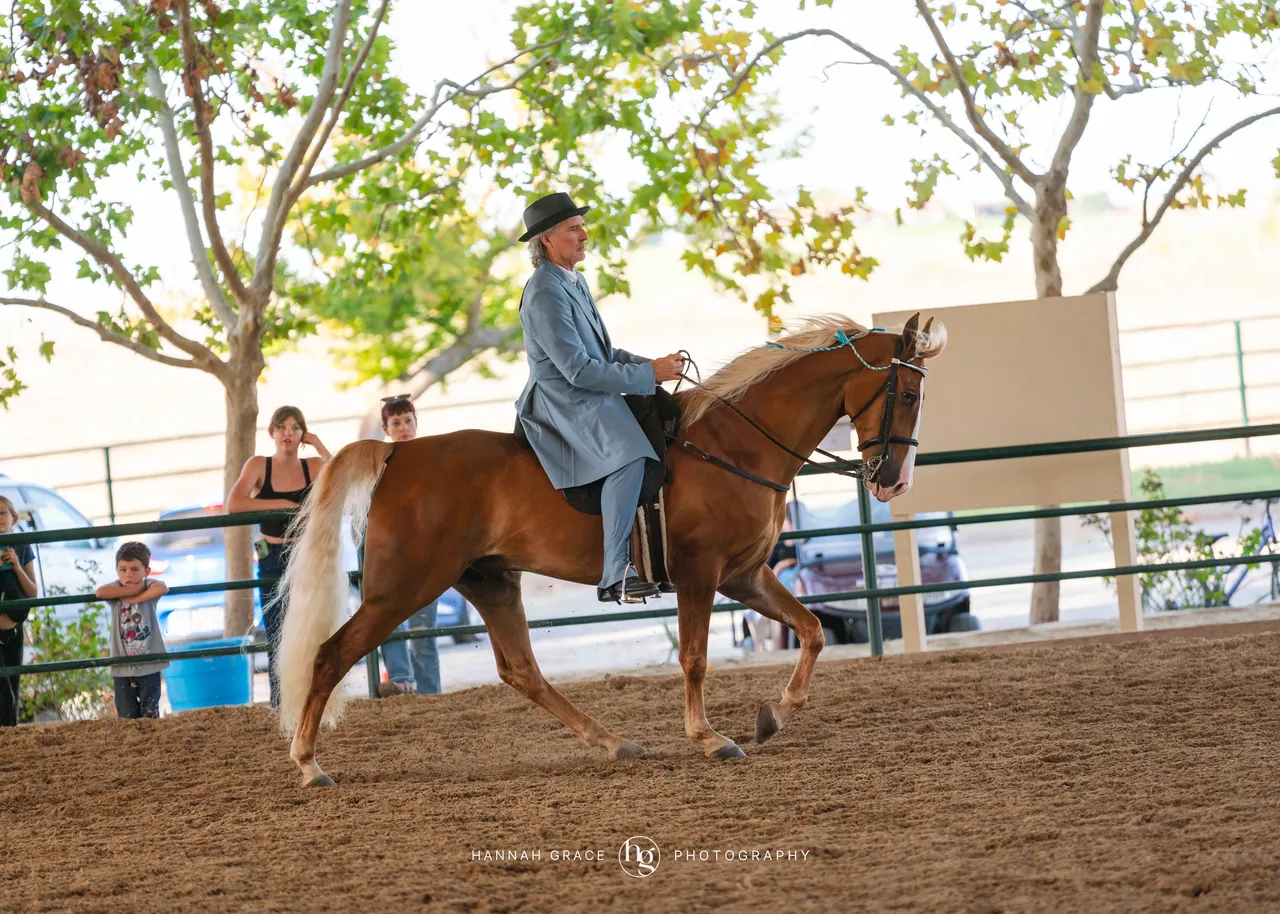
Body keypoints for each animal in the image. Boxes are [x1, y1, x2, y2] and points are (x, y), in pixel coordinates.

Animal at [276, 313, 946, 787]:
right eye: (909, 396)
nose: (894, 481)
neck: (735, 445)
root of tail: (398, 453)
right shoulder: (702, 575)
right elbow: (695, 658)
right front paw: (710, 738)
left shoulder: (746, 575)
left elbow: (810, 630)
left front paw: (774, 716)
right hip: (403, 588)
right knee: (332, 655)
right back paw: (308, 764)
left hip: (490, 581)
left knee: (522, 671)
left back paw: (612, 743)